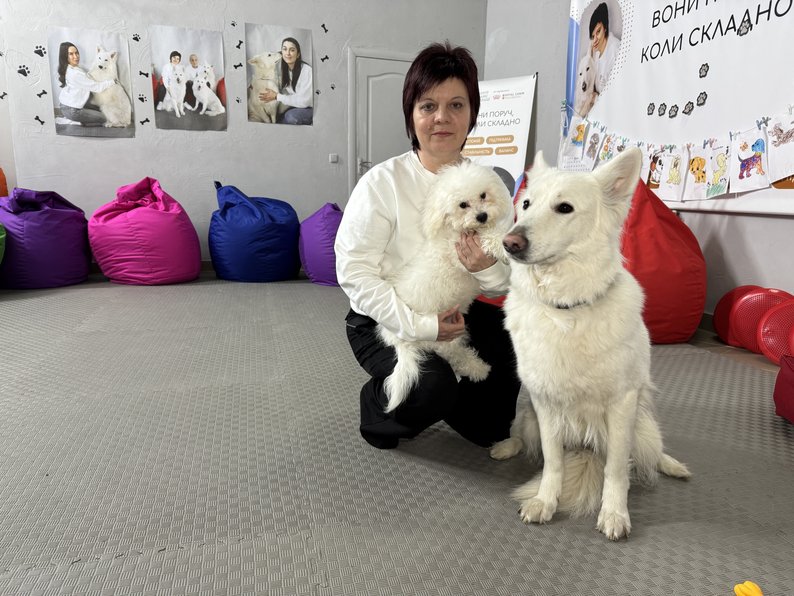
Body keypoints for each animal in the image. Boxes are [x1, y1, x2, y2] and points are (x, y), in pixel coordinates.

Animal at [378, 161, 513, 413]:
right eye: (462, 204)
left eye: (483, 195)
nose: (482, 216)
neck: (458, 229)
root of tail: (399, 340)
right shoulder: (457, 252)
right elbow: (490, 238)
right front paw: (503, 243)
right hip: (443, 339)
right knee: (457, 355)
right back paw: (478, 369)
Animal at [489, 147, 690, 541]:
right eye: (526, 203)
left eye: (564, 208)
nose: (510, 243)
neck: (567, 309)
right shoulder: (544, 403)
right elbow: (553, 462)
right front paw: (544, 502)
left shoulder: (622, 406)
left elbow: (616, 469)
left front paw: (614, 514)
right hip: (528, 416)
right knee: (523, 437)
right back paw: (505, 447)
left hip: (643, 426)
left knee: (649, 453)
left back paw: (672, 465)